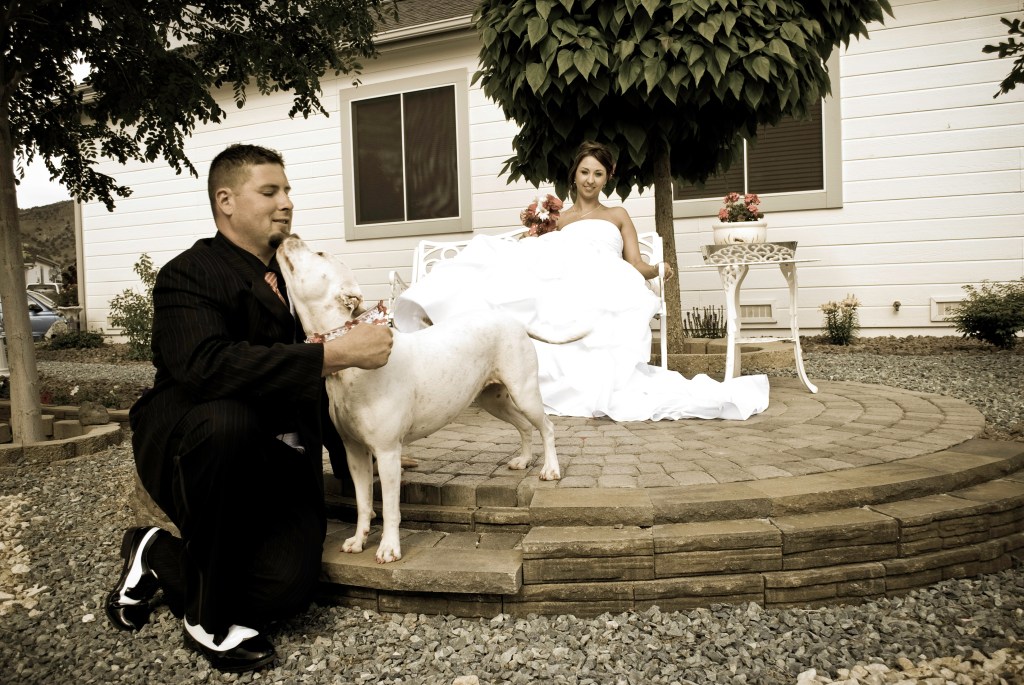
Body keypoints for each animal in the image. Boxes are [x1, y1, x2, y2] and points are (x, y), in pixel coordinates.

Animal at [276, 235, 561, 563]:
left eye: (320, 253)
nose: (290, 236)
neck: (349, 358)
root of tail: (513, 320)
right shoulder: (355, 453)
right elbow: (363, 503)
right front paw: (358, 540)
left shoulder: (387, 453)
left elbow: (390, 508)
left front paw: (389, 548)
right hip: (493, 400)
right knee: (524, 426)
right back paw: (524, 460)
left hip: (524, 392)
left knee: (546, 426)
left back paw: (550, 470)